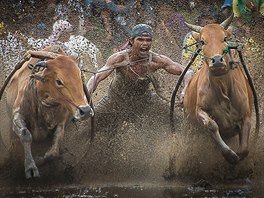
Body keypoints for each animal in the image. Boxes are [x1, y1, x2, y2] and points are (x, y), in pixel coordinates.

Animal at [0, 46, 94, 178]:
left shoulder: (60, 124)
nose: (85, 111)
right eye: (59, 81)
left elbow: (53, 152)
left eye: (80, 77)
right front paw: (30, 167)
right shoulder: (17, 115)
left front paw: (38, 160)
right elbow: (25, 134)